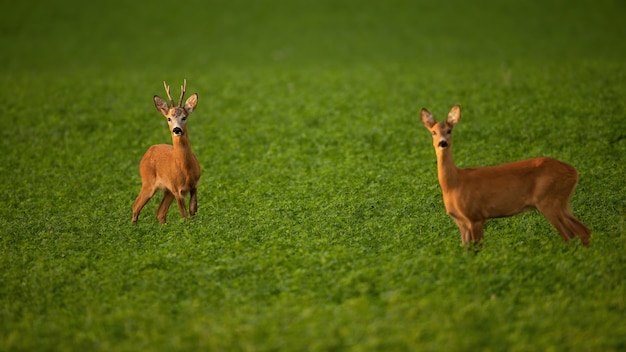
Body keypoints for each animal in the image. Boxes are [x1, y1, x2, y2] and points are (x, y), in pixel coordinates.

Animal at [132, 79, 200, 223]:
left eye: (184, 117)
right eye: (169, 118)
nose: (177, 129)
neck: (186, 170)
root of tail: (149, 150)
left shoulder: (194, 185)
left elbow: (192, 211)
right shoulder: (176, 189)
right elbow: (184, 215)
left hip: (167, 191)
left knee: (160, 212)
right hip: (148, 182)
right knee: (136, 206)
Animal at [422, 106, 588, 246]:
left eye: (449, 130)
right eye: (433, 132)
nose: (442, 143)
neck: (454, 184)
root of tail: (573, 171)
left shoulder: (475, 216)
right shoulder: (461, 221)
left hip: (549, 200)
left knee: (571, 234)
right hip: (561, 202)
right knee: (582, 230)